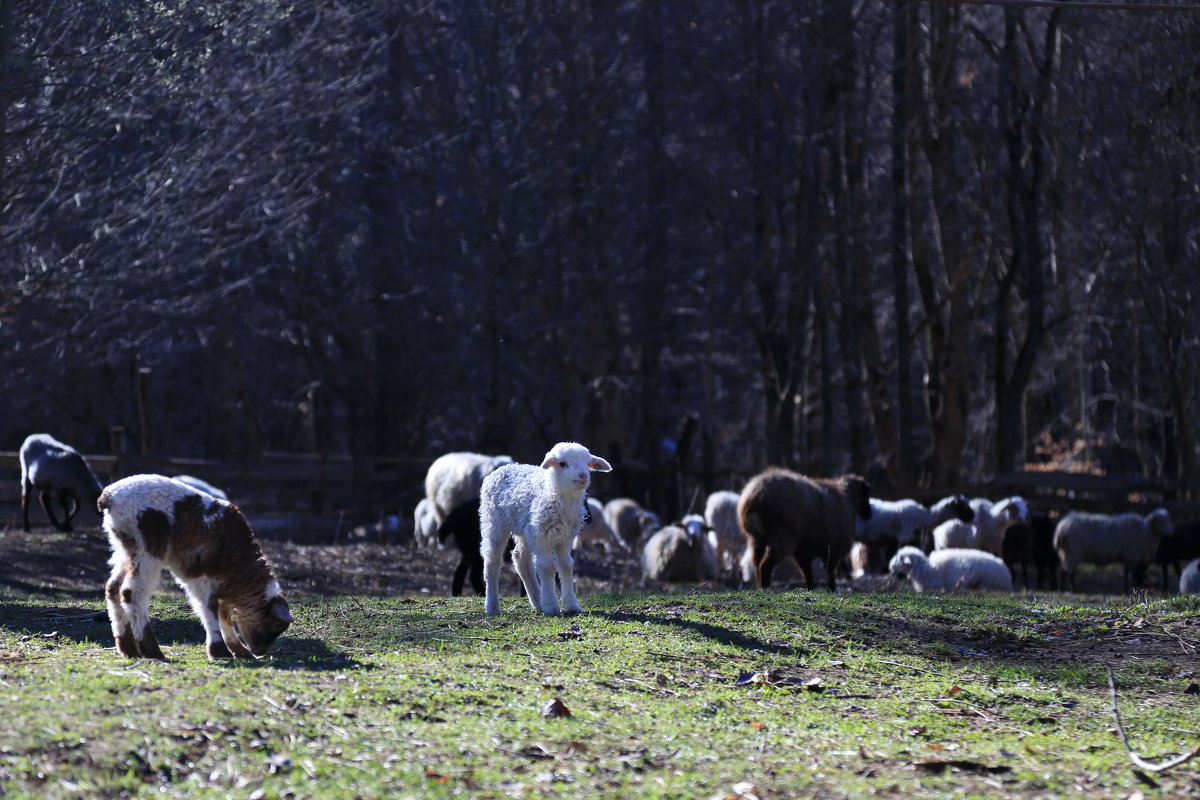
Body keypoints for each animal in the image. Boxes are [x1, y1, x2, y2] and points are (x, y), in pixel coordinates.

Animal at [99, 474, 291, 662]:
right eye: (277, 624)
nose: (261, 651)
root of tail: (109, 496)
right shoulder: (200, 574)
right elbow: (210, 606)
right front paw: (219, 651)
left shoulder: (218, 580)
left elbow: (224, 611)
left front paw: (238, 650)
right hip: (147, 548)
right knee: (132, 593)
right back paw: (152, 651)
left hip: (124, 548)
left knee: (113, 588)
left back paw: (128, 649)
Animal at [480, 441, 614, 618]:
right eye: (562, 464)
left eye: (587, 463)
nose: (583, 476)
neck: (554, 493)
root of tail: (503, 468)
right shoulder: (541, 536)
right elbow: (548, 568)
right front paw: (551, 606)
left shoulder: (565, 537)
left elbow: (567, 566)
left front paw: (572, 605)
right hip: (494, 522)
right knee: (492, 562)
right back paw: (492, 607)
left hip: (526, 529)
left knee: (520, 558)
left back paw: (537, 601)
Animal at [729, 465, 873, 592]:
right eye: (866, 495)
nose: (869, 514)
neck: (849, 500)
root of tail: (754, 498)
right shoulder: (833, 550)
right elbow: (829, 572)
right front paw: (831, 589)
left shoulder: (803, 552)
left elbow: (807, 573)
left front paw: (812, 589)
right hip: (783, 537)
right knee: (766, 564)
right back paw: (765, 587)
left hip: (757, 539)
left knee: (757, 562)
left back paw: (759, 586)